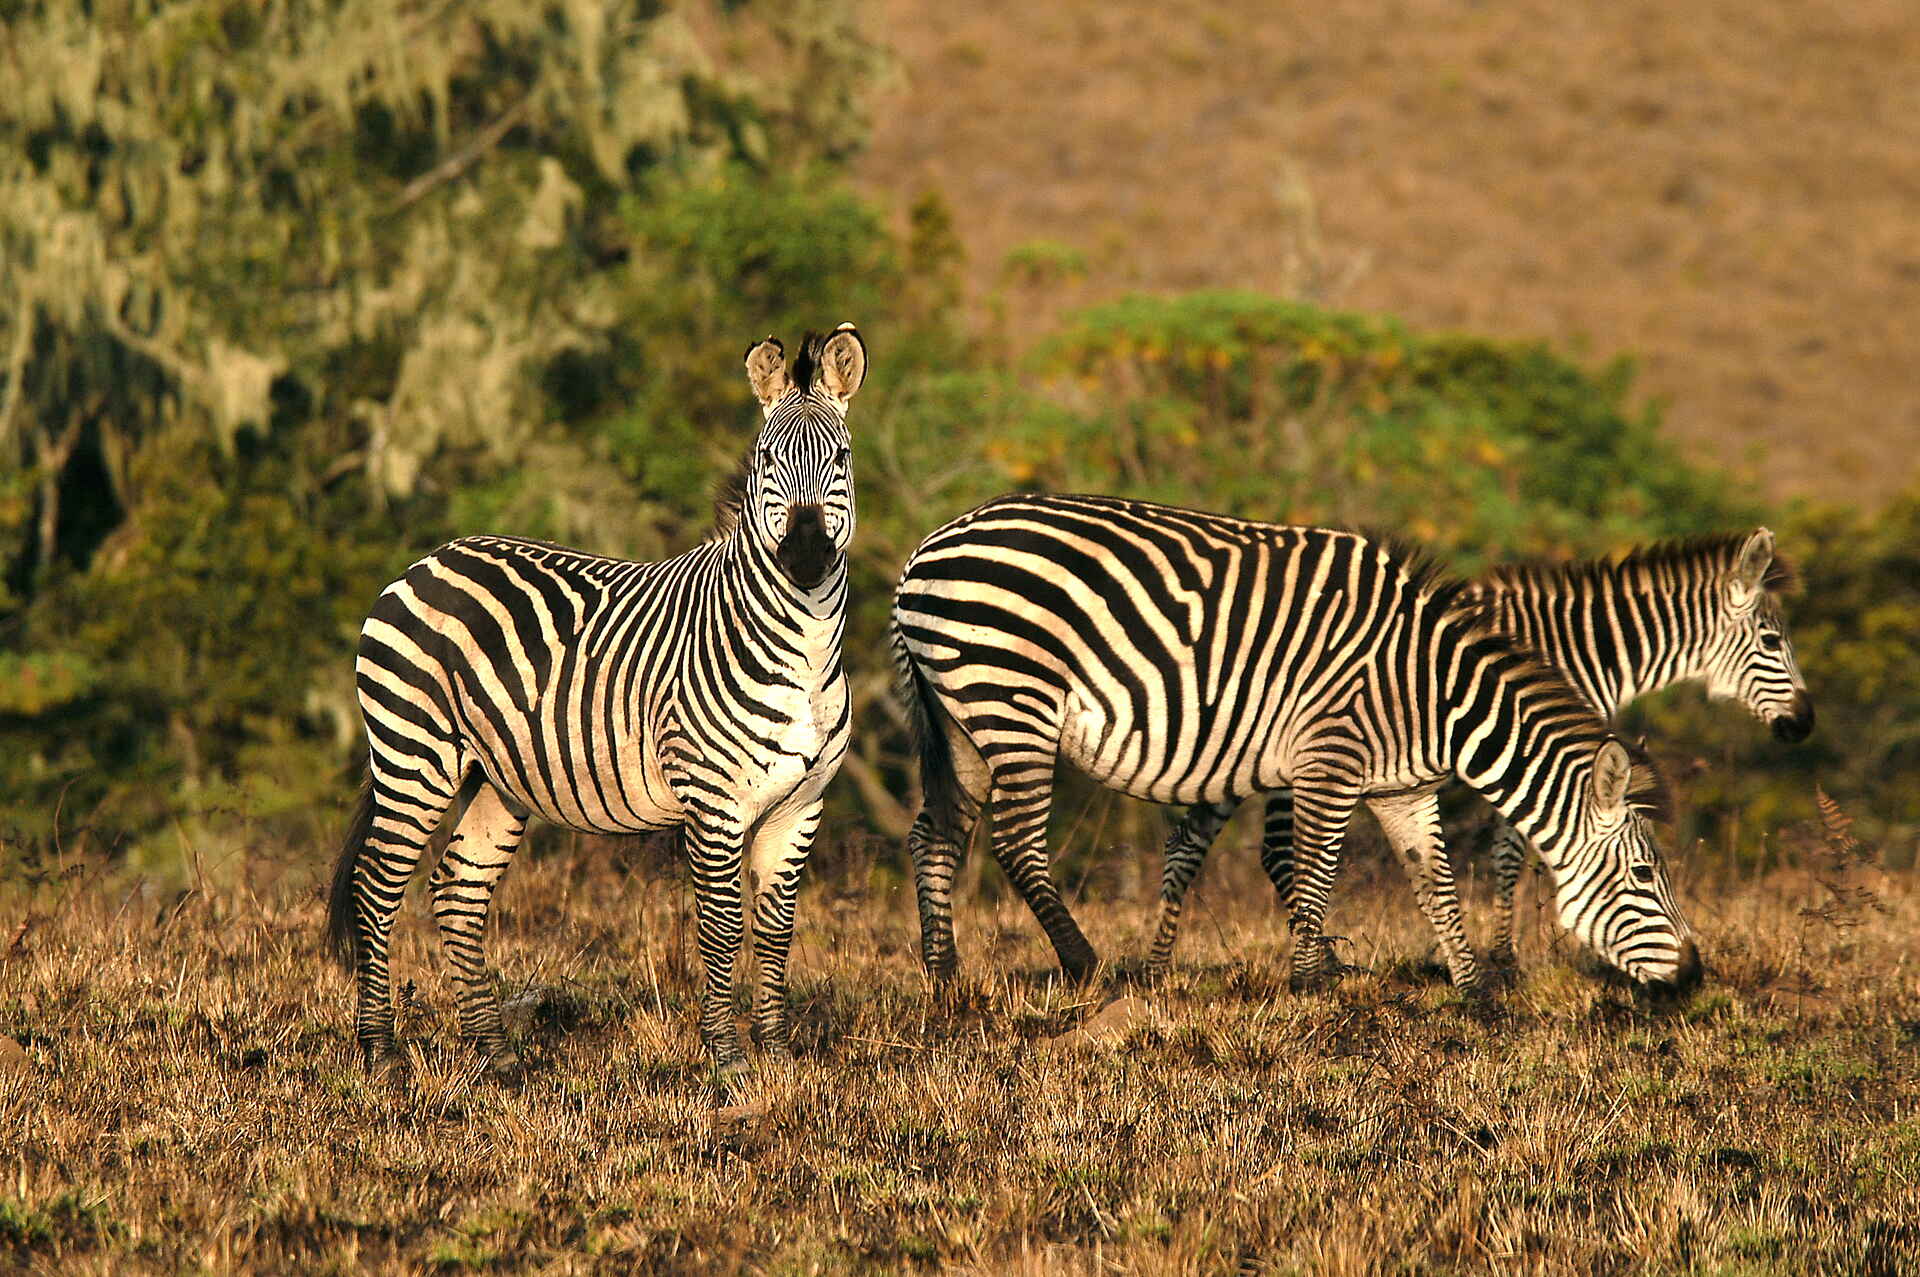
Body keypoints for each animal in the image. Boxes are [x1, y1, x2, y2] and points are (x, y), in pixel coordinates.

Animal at [325, 324, 866, 1080]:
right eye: (766, 461)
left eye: (839, 459)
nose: (808, 556)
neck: (805, 654)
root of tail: (428, 559)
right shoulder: (715, 801)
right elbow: (723, 924)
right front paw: (727, 1062)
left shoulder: (801, 805)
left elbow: (777, 927)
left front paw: (778, 1057)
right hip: (415, 754)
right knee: (377, 886)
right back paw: (381, 1053)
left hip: (496, 777)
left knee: (459, 888)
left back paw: (497, 1056)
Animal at [891, 492, 1702, 995]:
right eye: (1642, 875)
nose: (1695, 976)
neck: (1430, 691)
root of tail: (927, 547)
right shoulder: (1329, 761)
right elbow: (1314, 873)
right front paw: (1311, 984)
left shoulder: (1404, 789)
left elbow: (1435, 886)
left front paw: (1476, 992)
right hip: (1013, 697)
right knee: (1016, 842)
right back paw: (1085, 965)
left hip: (961, 716)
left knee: (936, 833)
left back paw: (944, 976)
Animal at [1147, 528, 1810, 980]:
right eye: (1772, 640)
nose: (1804, 725)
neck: (1573, 647)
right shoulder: (1523, 756)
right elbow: (1510, 856)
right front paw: (1504, 960)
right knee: (1276, 852)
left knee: (1189, 840)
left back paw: (1159, 967)